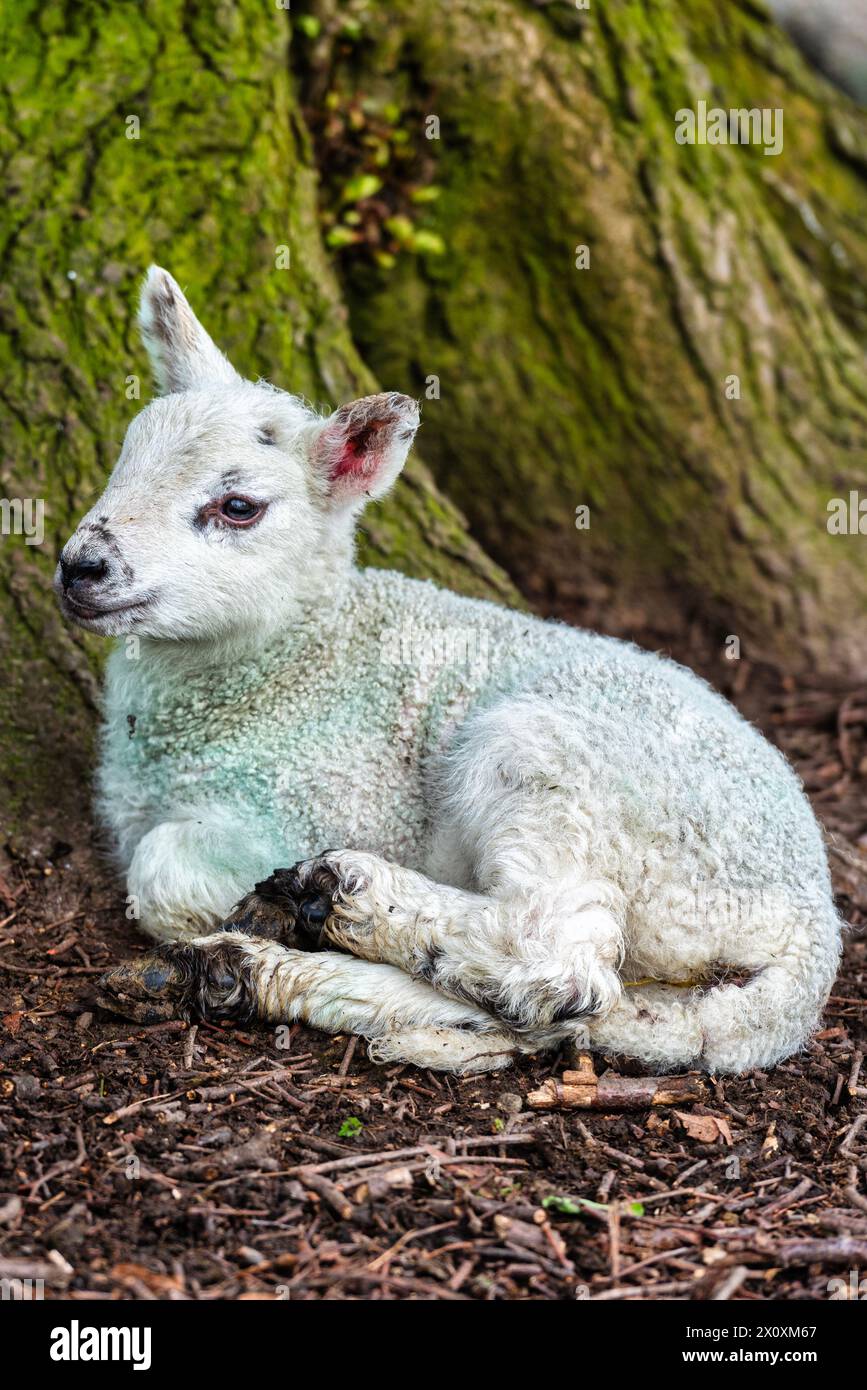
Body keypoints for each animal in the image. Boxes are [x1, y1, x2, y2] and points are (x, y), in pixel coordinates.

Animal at [54, 268, 839, 1073]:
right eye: (123, 459)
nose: (82, 567)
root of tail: (810, 944)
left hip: (563, 776)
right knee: (572, 1010)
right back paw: (251, 971)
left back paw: (340, 896)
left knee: (560, 963)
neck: (293, 661)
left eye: (238, 506)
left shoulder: (322, 798)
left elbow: (160, 874)